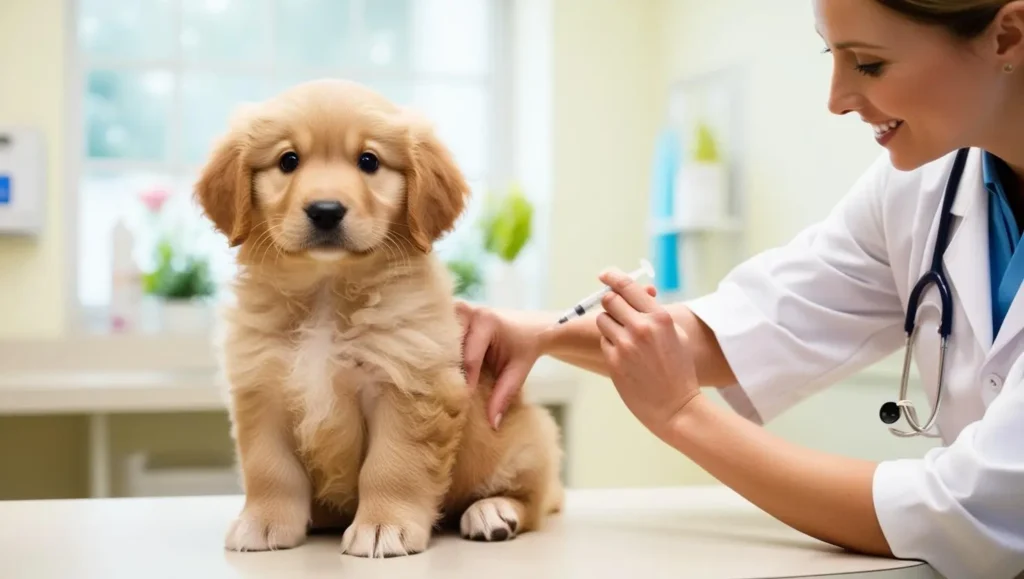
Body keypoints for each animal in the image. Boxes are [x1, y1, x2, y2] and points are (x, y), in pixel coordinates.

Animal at [191, 77, 561, 553]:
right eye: (288, 160)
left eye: (369, 161)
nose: (326, 210)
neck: (326, 293)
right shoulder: (261, 387)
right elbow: (269, 467)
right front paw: (265, 522)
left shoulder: (407, 384)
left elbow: (392, 466)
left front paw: (385, 526)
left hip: (527, 443)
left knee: (534, 499)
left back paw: (493, 512)